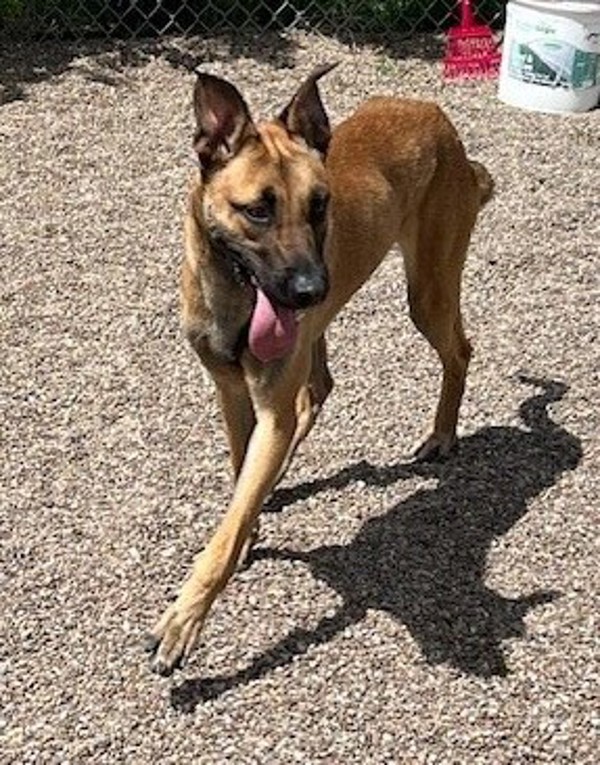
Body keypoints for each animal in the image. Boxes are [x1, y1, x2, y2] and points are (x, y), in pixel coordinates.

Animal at [144, 65, 492, 676]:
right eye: (257, 210)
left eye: (320, 204)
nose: (312, 289)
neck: (234, 296)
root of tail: (436, 116)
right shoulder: (233, 392)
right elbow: (241, 477)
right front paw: (251, 518)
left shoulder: (269, 400)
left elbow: (226, 528)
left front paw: (183, 619)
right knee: (318, 389)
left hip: (427, 291)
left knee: (459, 351)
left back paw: (443, 434)